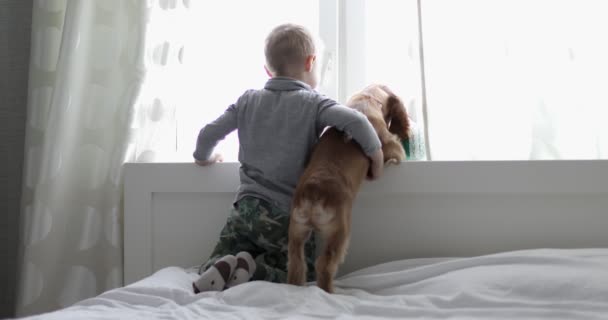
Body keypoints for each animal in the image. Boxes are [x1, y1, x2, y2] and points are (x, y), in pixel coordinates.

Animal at [288, 84, 410, 292]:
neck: (367, 99)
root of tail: (313, 191)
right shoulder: (387, 144)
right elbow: (394, 149)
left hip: (296, 232)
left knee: (296, 264)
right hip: (339, 234)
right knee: (325, 265)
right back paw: (329, 291)